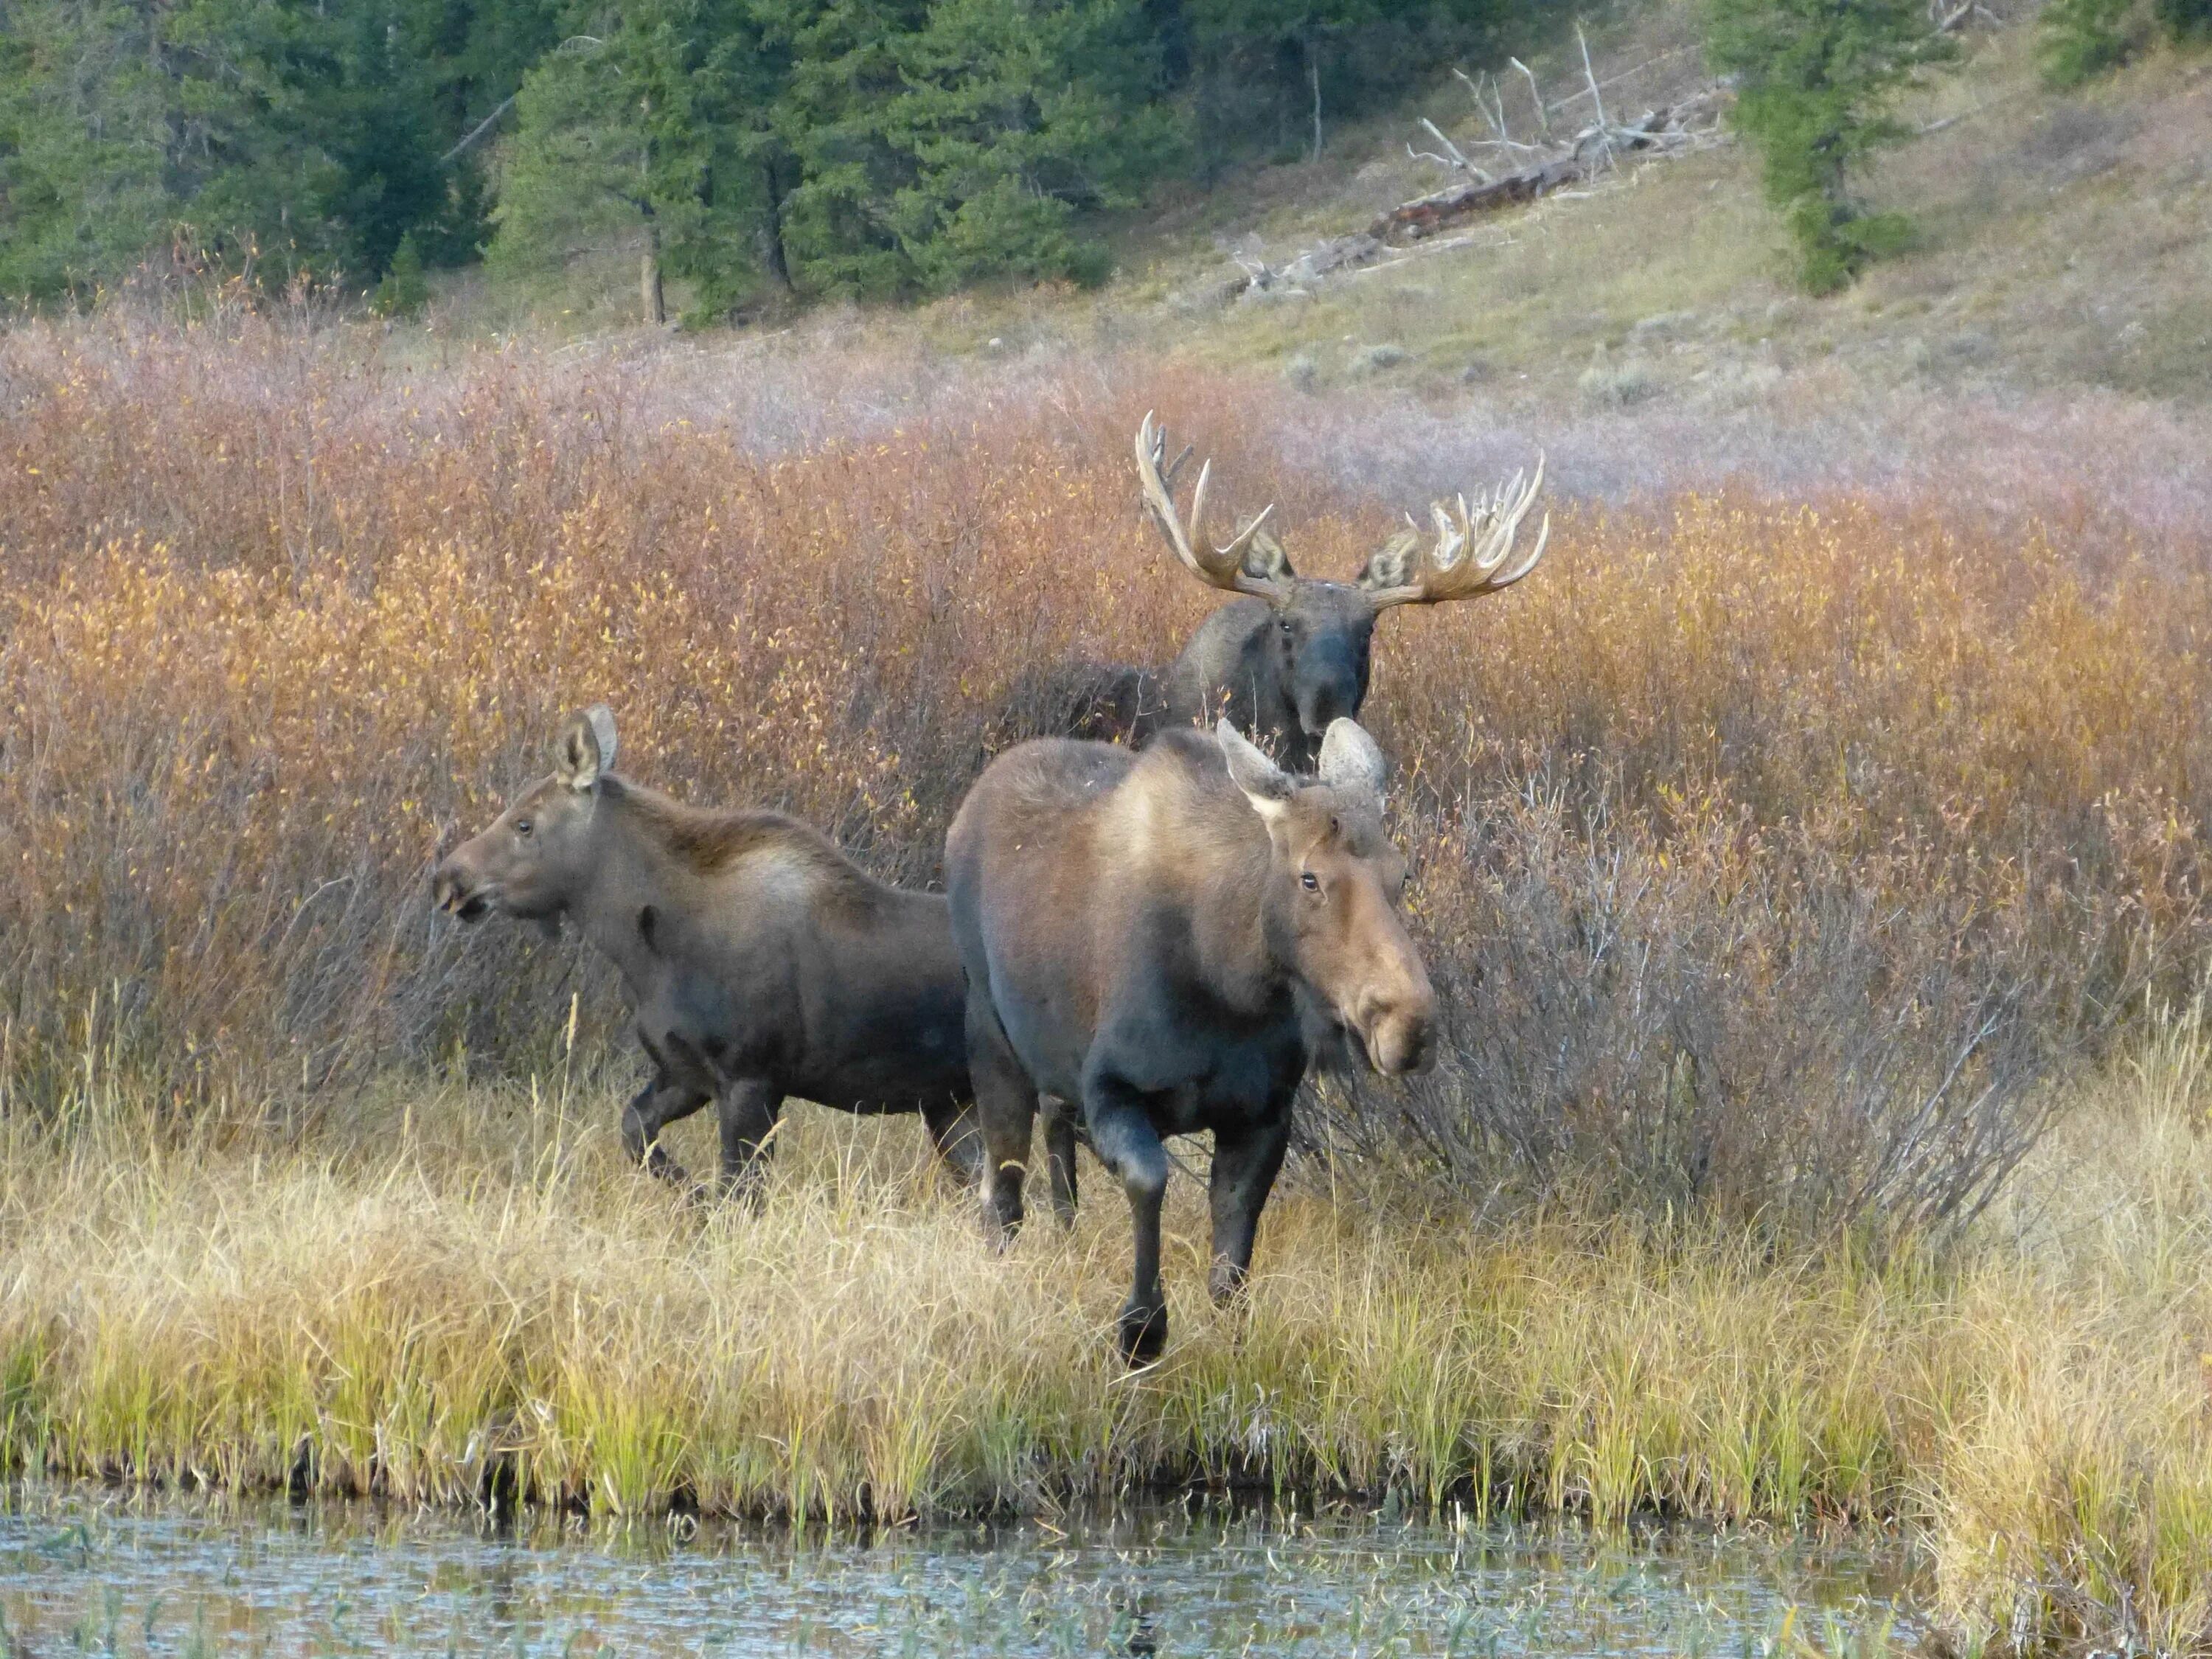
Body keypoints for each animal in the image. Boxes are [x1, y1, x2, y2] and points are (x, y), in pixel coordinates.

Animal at [431, 708, 978, 1203]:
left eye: (524, 824)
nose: (447, 878)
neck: (643, 953)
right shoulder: (685, 1072)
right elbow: (636, 1133)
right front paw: (692, 1198)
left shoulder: (750, 1077)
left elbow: (738, 1192)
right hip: (951, 1105)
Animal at [947, 717, 1433, 1363]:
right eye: (1310, 878)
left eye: (1402, 873)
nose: (1409, 1023)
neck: (1229, 980)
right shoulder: (1111, 1091)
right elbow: (1149, 1181)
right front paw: (1141, 1329)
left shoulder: (1262, 1117)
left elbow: (1230, 1262)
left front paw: (1233, 1345)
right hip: (991, 1041)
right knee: (1001, 1197)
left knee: (1054, 1146)